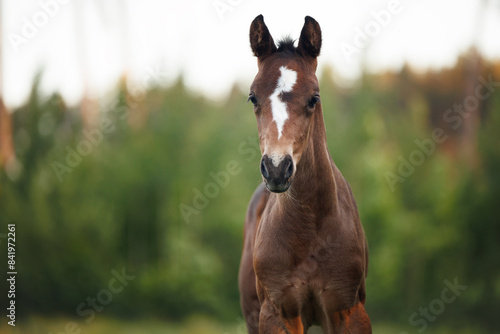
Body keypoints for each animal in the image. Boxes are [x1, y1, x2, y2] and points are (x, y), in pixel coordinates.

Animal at [238, 14, 372, 332]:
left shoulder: (349, 309)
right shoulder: (277, 312)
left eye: (314, 98)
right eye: (252, 97)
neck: (309, 229)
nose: (276, 168)